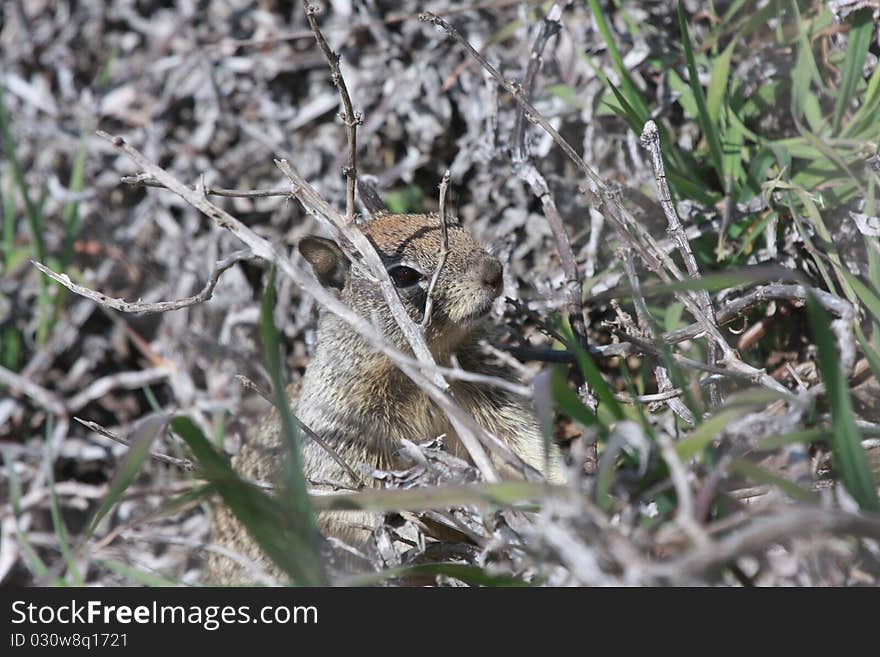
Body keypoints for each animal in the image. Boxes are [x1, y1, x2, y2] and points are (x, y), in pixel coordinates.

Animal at [205, 213, 564, 580]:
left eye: (453, 223)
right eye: (403, 275)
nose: (494, 271)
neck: (420, 372)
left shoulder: (497, 403)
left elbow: (525, 447)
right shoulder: (342, 443)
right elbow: (355, 506)